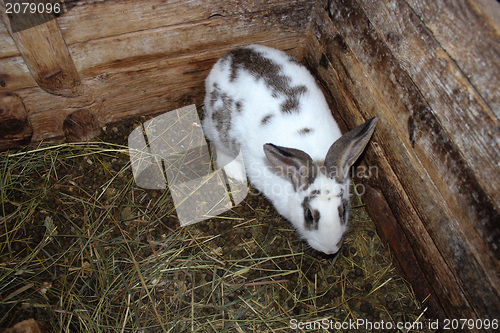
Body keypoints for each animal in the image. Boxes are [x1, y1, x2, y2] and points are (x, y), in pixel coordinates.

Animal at [201, 42, 376, 253]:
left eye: (343, 210)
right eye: (309, 215)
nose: (330, 250)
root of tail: (229, 56)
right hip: (218, 127)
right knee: (217, 144)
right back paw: (235, 172)